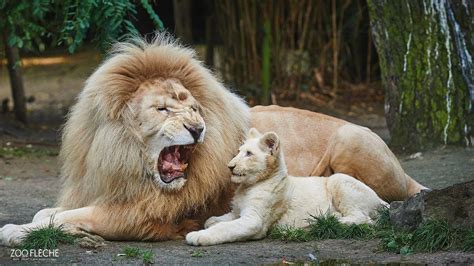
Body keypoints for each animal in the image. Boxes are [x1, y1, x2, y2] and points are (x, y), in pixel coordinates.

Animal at [184, 128, 386, 246]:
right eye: (238, 152)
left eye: (248, 154)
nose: (230, 166)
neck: (247, 187)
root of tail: (381, 200)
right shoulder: (237, 212)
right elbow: (215, 221)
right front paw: (212, 221)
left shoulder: (254, 220)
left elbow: (225, 228)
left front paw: (197, 236)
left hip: (338, 180)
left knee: (364, 219)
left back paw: (322, 221)